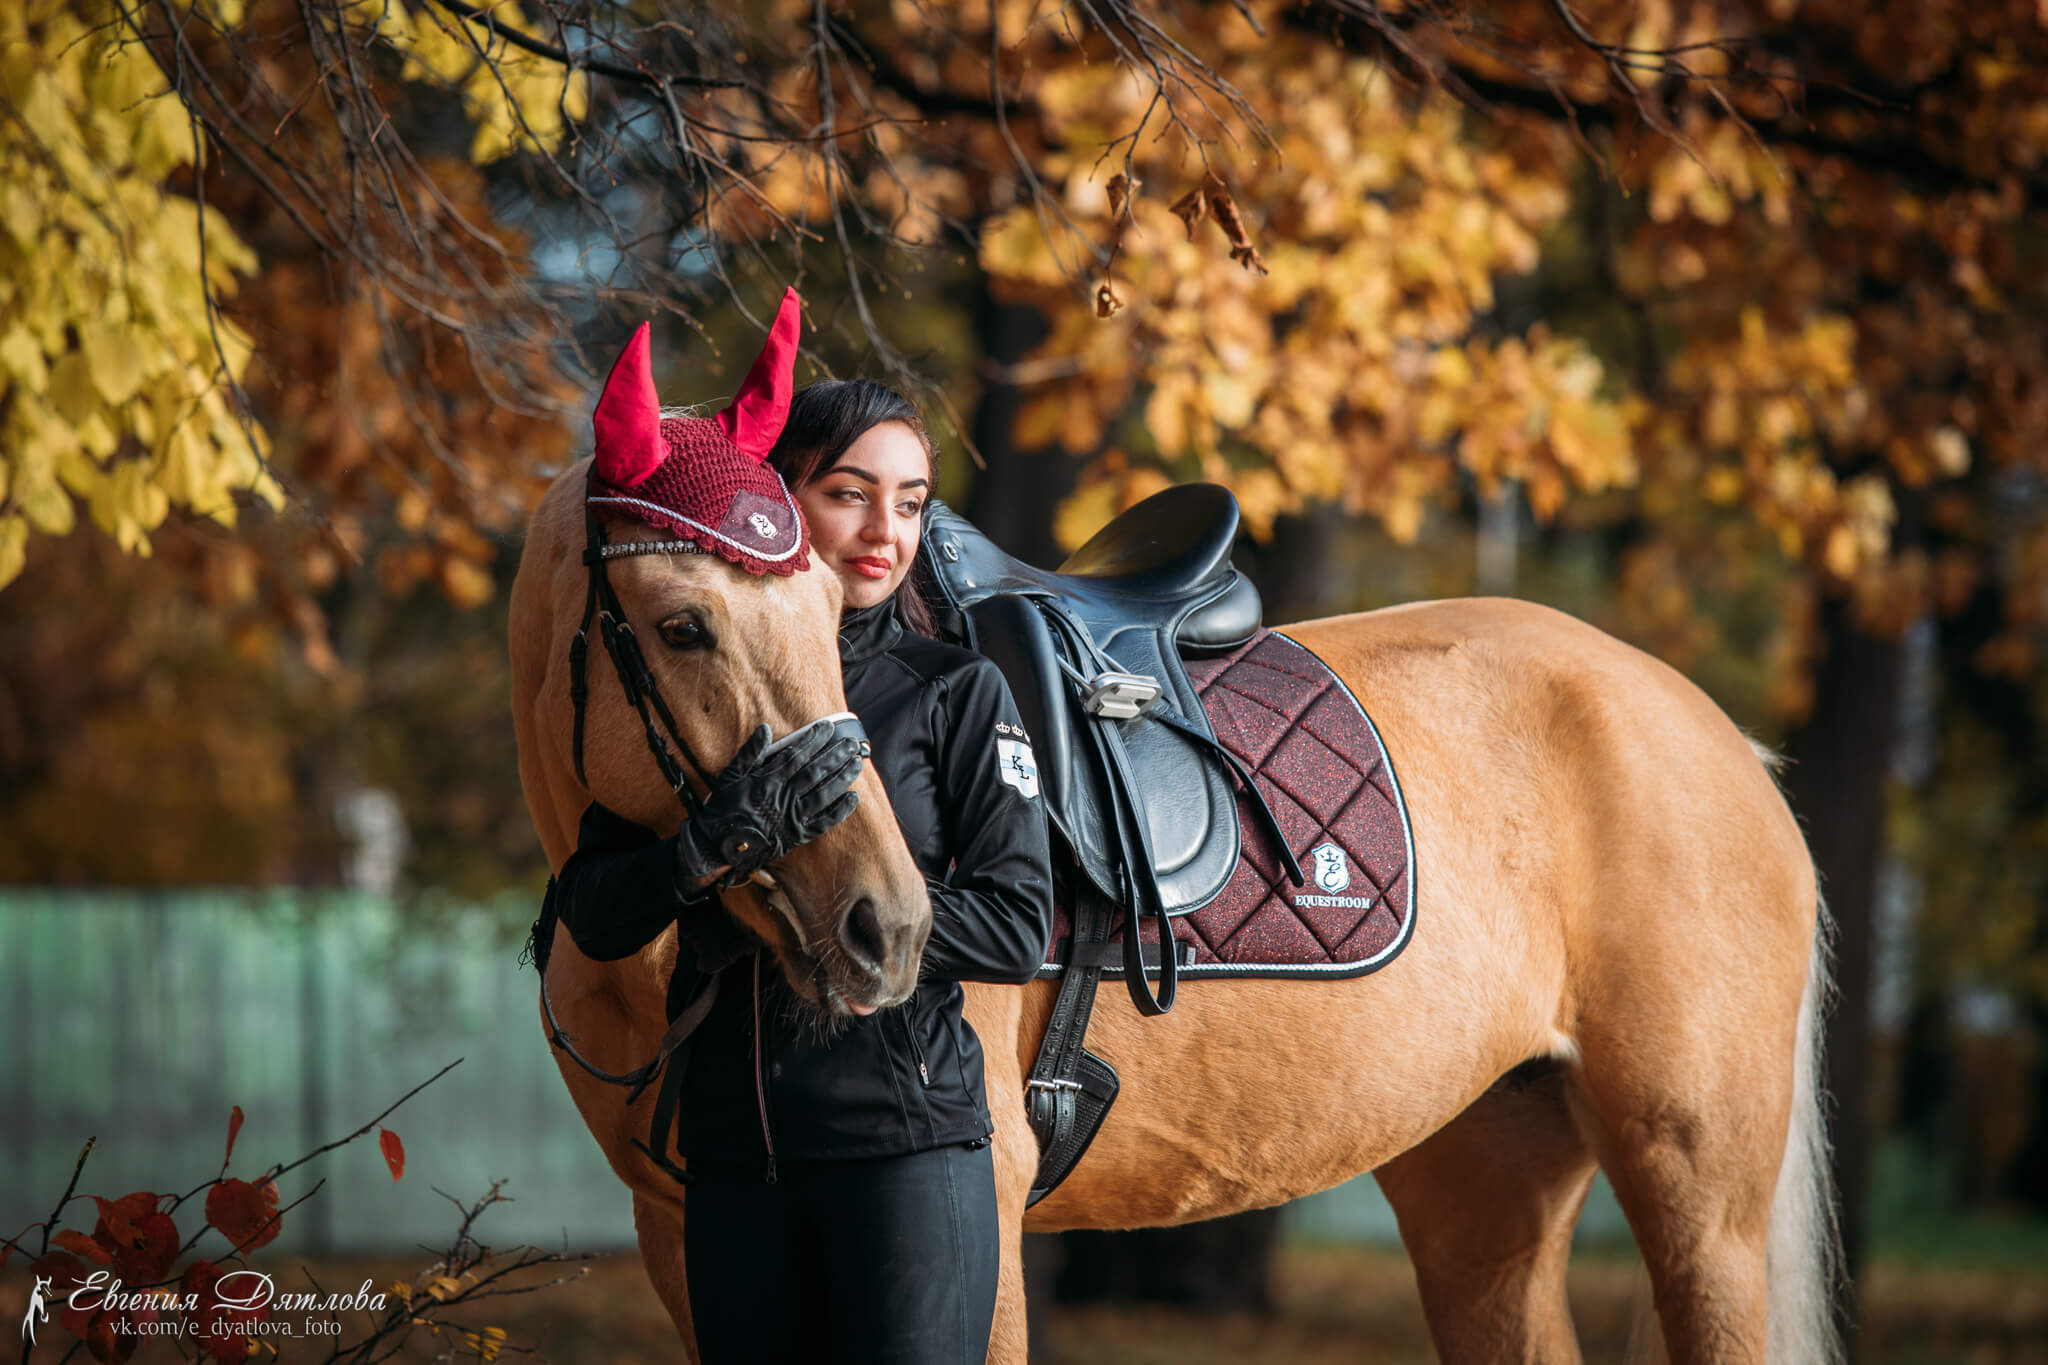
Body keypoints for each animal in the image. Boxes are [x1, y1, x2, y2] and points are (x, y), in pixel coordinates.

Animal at [507, 462, 1843, 1365]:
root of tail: (1714, 733)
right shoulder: (679, 1235)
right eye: (685, 624)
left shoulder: (979, 1208)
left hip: (1699, 1193)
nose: (880, 923)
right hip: (1485, 1183)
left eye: (828, 615)